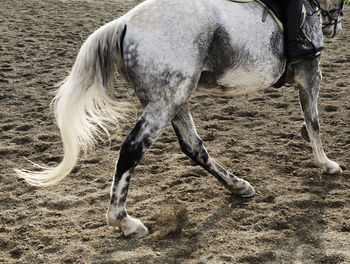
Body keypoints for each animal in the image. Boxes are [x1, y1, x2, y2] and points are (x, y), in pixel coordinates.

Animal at [16, 0, 344, 237]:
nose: (336, 26)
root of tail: (125, 22)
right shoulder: (310, 74)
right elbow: (314, 121)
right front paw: (326, 163)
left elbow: (309, 121)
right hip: (165, 101)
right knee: (132, 149)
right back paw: (125, 222)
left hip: (176, 98)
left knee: (193, 147)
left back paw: (238, 186)